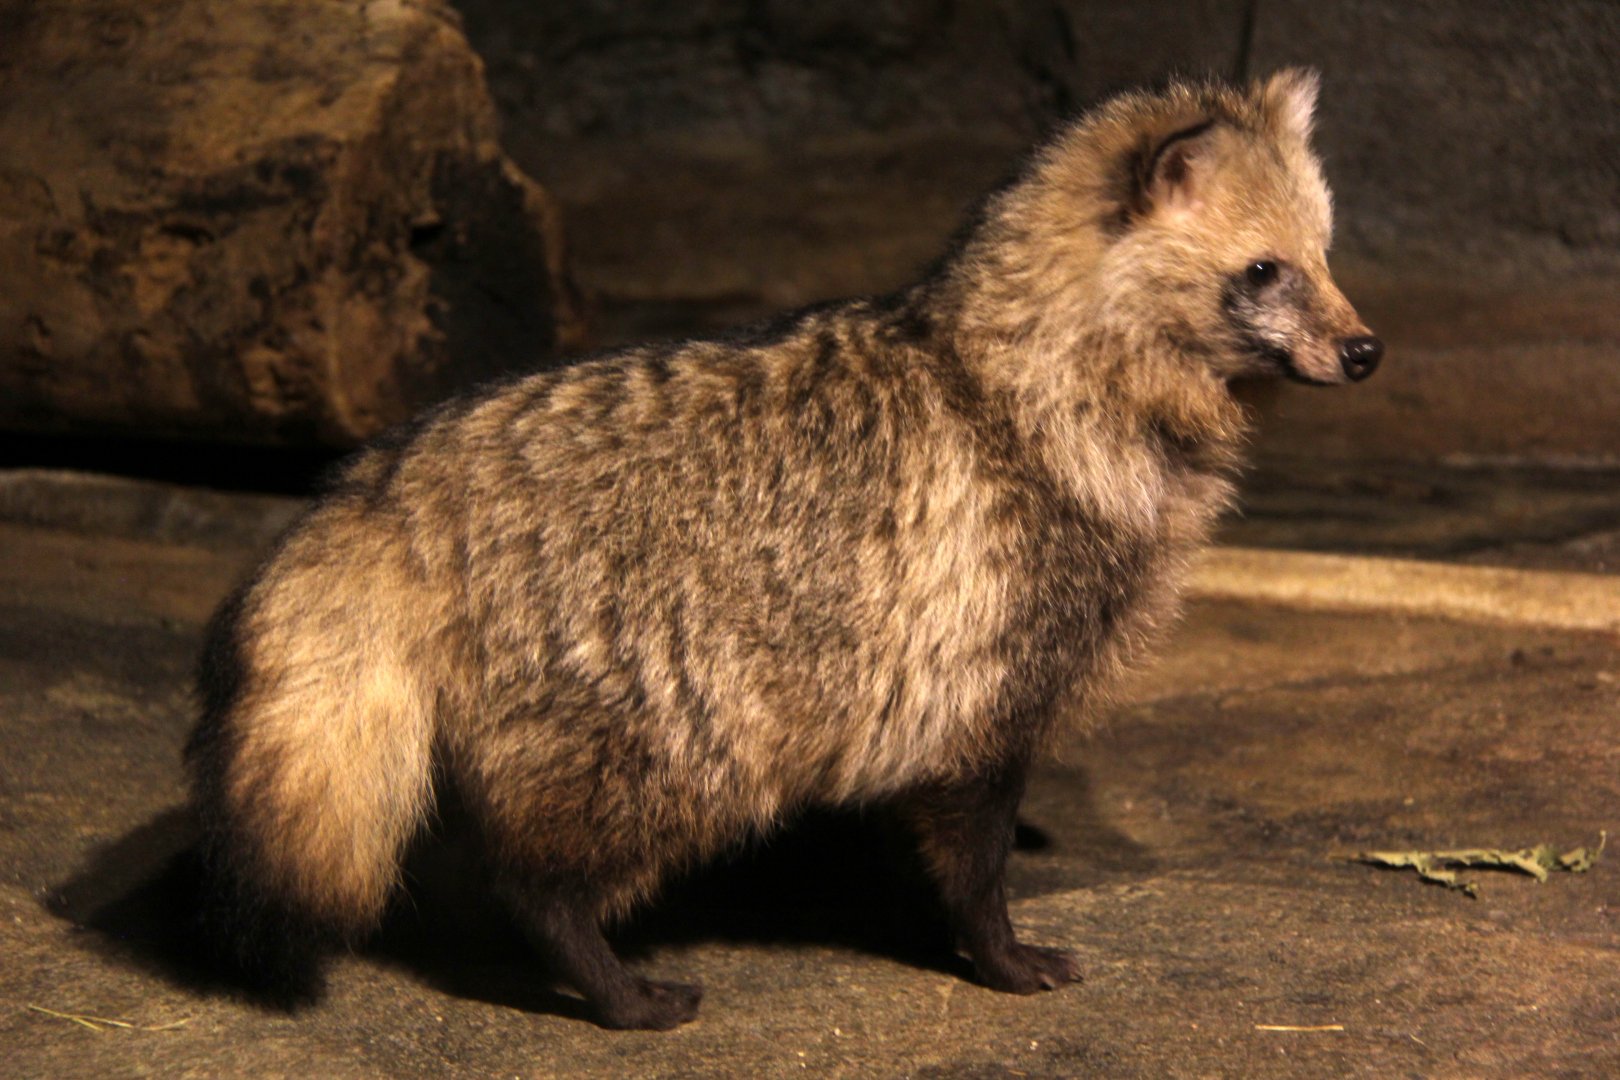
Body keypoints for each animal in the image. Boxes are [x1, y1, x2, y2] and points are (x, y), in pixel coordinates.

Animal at [186, 69, 1381, 1029]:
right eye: (1264, 271)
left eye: (1324, 257)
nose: (1368, 351)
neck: (1037, 374)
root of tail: (391, 483)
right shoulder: (988, 667)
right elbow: (973, 852)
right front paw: (991, 950)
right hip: (655, 727)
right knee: (541, 879)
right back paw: (603, 977)